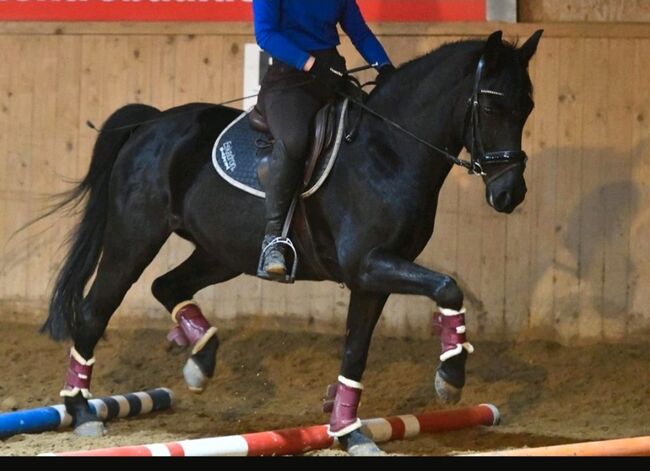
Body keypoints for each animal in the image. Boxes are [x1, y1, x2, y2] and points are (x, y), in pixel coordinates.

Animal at [43, 31, 540, 456]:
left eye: (528, 108)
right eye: (491, 109)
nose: (510, 194)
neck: (389, 150)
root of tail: (153, 124)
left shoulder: (373, 276)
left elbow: (356, 350)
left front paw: (348, 430)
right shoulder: (369, 263)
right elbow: (447, 286)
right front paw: (450, 377)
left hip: (222, 252)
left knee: (167, 286)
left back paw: (200, 360)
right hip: (134, 238)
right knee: (95, 310)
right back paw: (83, 411)